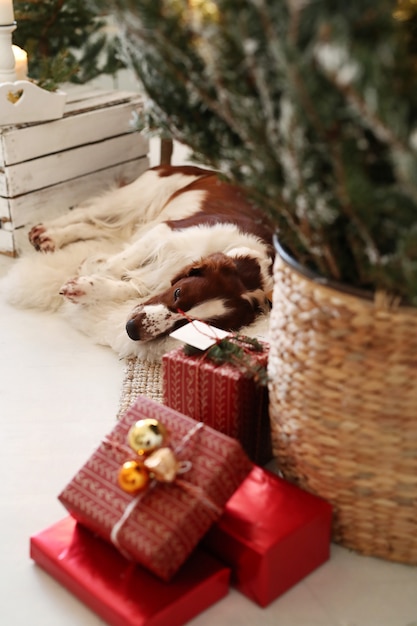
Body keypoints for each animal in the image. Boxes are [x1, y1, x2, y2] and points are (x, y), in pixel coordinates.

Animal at [4, 163, 276, 358]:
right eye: (178, 293)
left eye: (187, 327)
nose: (132, 330)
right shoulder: (166, 232)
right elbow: (116, 264)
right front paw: (87, 277)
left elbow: (128, 285)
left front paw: (88, 286)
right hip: (134, 197)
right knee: (85, 212)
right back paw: (48, 233)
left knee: (97, 228)